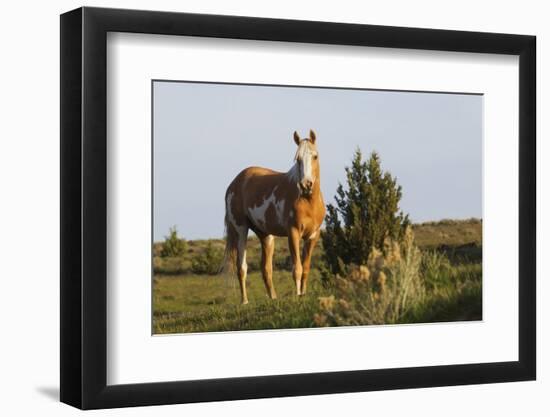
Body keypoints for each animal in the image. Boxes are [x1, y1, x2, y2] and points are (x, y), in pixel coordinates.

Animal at [225, 128, 328, 304]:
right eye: (298, 159)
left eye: (315, 156)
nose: (306, 184)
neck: (308, 202)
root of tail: (234, 183)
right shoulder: (293, 233)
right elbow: (297, 268)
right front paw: (298, 296)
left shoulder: (313, 236)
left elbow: (306, 268)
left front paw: (303, 294)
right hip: (241, 230)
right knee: (242, 267)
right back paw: (244, 301)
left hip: (266, 235)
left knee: (266, 269)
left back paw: (273, 298)